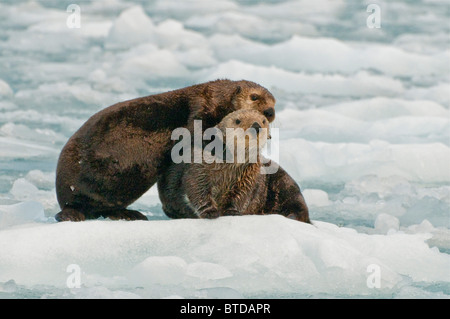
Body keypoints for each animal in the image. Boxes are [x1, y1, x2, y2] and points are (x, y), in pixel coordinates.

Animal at [54, 79, 276, 222]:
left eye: (274, 103)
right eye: (254, 97)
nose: (270, 112)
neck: (216, 97)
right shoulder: (201, 109)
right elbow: (198, 132)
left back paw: (129, 214)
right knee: (77, 205)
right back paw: (72, 215)